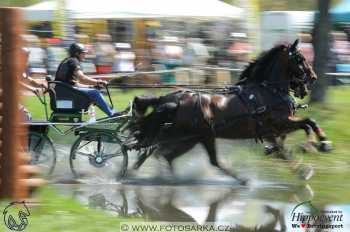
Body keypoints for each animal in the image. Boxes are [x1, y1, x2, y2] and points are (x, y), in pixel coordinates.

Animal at [125, 40, 330, 185]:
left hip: (192, 138)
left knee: (164, 154)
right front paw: (318, 145)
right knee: (161, 152)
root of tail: (170, 99)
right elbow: (308, 122)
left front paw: (309, 152)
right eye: (300, 59)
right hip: (192, 137)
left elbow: (287, 145)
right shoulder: (280, 122)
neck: (267, 91)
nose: (313, 77)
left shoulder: (274, 130)